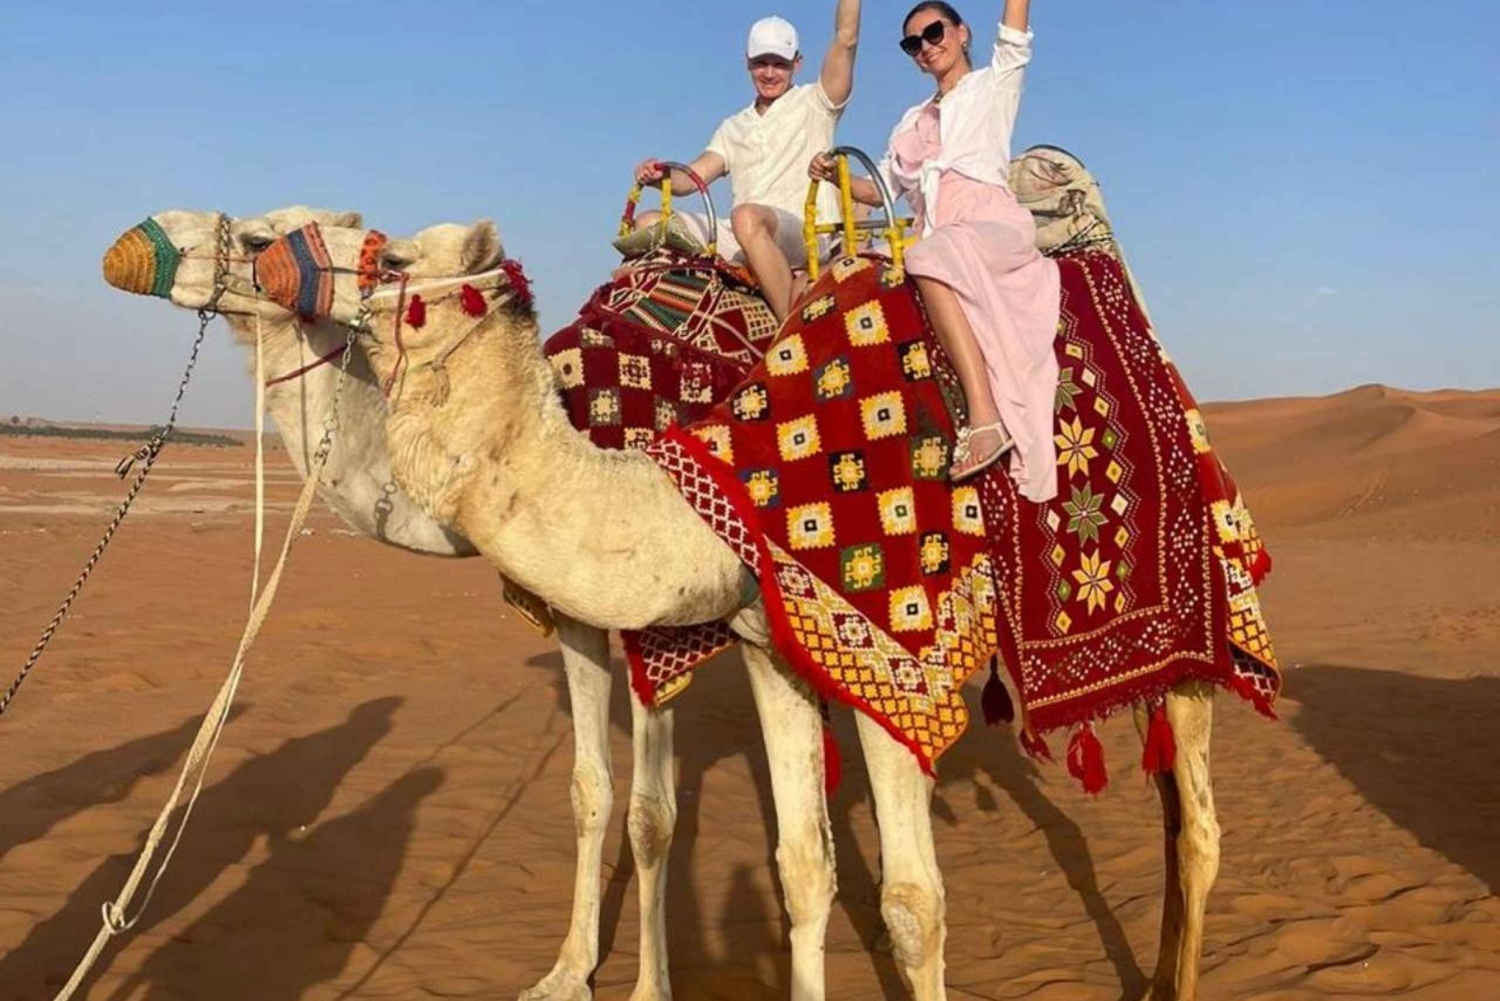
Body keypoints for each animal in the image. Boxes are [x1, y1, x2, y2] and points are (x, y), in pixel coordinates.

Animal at [101, 209, 766, 1001]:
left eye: (261, 239)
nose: (136, 241)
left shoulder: (653, 619)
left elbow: (652, 814)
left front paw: (649, 989)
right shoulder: (574, 610)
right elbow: (591, 790)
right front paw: (565, 972)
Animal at [252, 217, 1225, 1001]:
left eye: (392, 255)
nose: (255, 257)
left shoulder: (895, 652)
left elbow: (910, 901)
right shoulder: (764, 645)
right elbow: (788, 862)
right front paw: (567, 975)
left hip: (1199, 603)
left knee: (1199, 824)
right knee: (1170, 812)